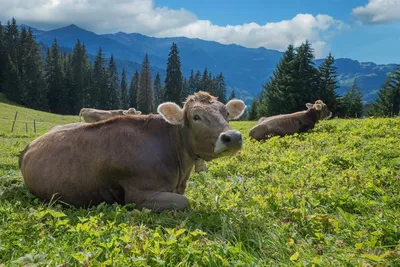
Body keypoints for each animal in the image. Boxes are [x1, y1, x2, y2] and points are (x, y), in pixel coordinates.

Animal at [19, 92, 247, 214]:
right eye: (196, 116)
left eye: (226, 113)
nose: (233, 136)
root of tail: (29, 146)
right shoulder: (139, 194)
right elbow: (184, 202)